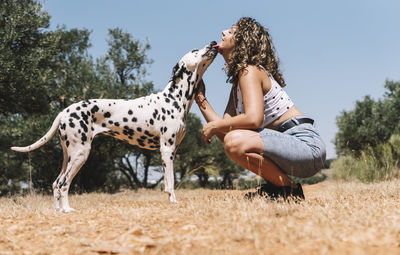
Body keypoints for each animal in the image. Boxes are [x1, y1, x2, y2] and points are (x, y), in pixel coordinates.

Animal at [11, 41, 219, 211]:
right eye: (194, 50)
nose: (213, 42)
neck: (174, 98)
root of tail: (64, 111)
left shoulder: (172, 150)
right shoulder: (167, 149)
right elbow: (170, 182)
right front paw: (174, 202)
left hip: (68, 155)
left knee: (56, 184)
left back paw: (59, 211)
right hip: (80, 154)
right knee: (63, 183)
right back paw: (68, 210)